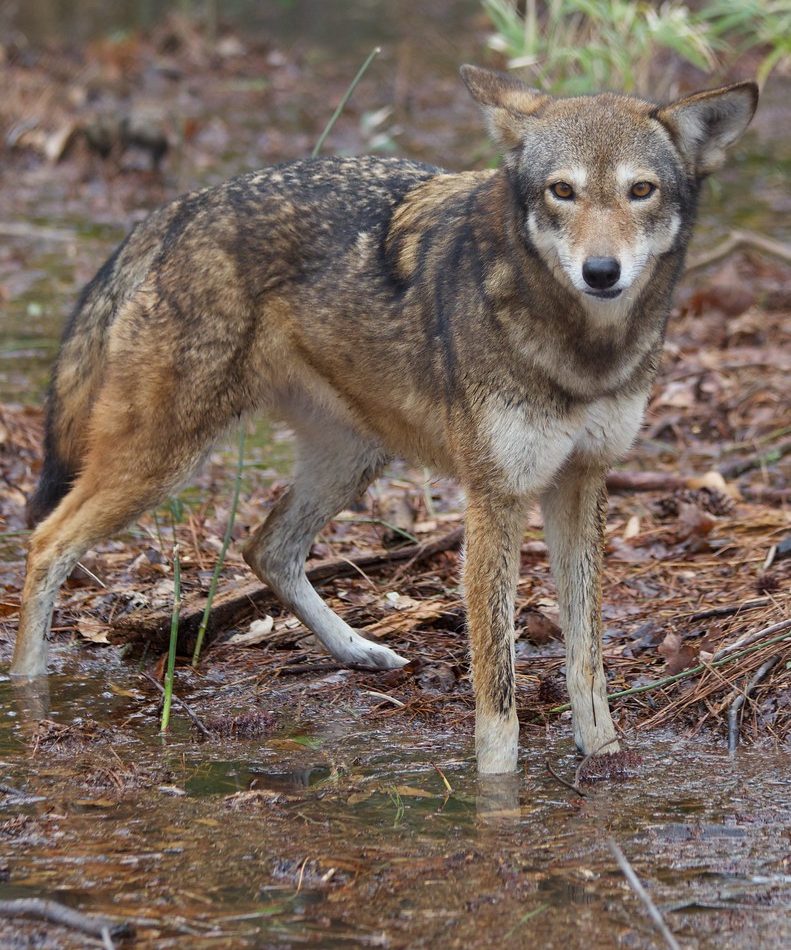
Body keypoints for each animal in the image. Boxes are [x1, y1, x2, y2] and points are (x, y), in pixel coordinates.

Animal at [12, 66, 757, 774]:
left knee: (265, 547)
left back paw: (359, 651)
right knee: (46, 543)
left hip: (350, 462)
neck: (583, 351)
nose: (600, 271)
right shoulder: (496, 498)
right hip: (163, 462)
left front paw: (602, 757)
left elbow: (586, 658)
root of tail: (179, 209)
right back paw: (27, 688)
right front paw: (498, 789)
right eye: (562, 191)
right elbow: (497, 683)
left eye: (640, 191)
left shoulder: (581, 482)